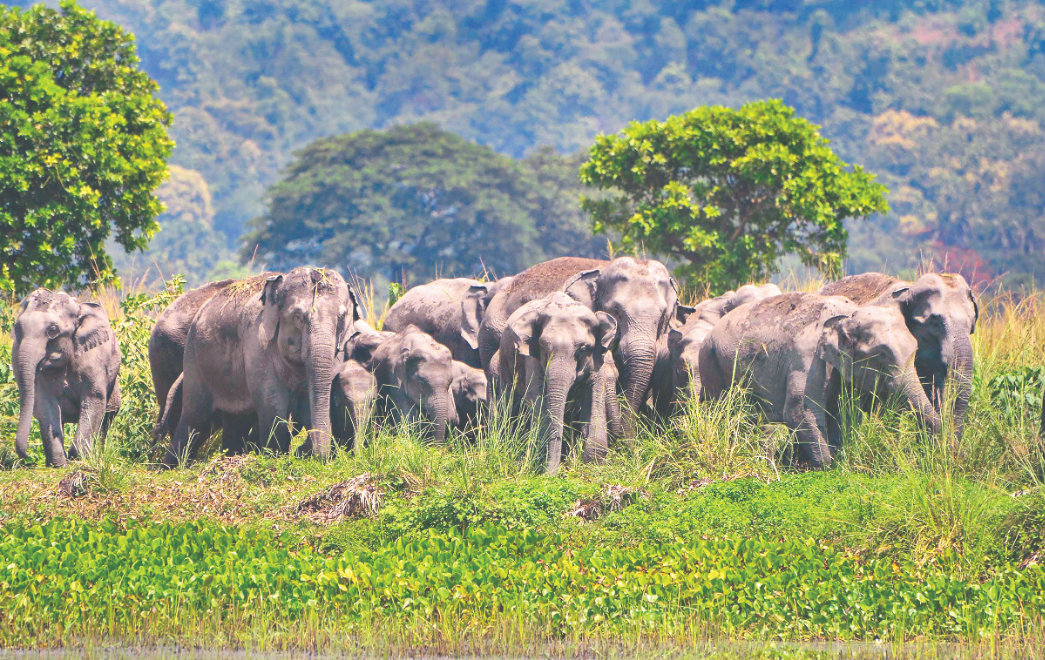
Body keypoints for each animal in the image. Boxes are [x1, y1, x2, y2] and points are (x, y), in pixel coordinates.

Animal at [13, 290, 122, 467]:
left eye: (53, 330)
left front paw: (78, 459)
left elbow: (94, 399)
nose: (26, 455)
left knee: (108, 415)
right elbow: (46, 403)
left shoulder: (94, 361)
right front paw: (59, 464)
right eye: (17, 328)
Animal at [163, 267, 358, 466]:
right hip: (193, 358)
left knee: (235, 421)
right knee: (194, 419)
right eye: (298, 317)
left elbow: (307, 401)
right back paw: (170, 467)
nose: (318, 457)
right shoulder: (257, 341)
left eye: (342, 318)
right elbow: (272, 401)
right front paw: (276, 458)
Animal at [495, 292, 619, 472]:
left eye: (583, 350)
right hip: (503, 360)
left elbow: (594, 393)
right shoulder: (531, 357)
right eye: (543, 347)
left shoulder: (597, 359)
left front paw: (592, 463)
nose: (550, 474)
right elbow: (537, 397)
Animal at [699, 293, 941, 468]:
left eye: (916, 350)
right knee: (724, 413)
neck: (849, 316)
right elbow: (799, 412)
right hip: (711, 365)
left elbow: (845, 416)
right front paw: (825, 467)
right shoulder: (808, 358)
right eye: (882, 355)